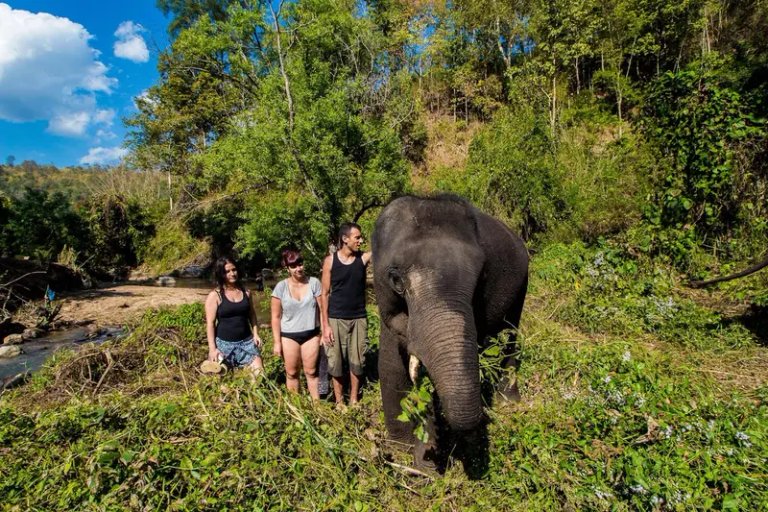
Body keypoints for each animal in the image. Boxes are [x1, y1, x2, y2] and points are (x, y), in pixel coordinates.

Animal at [372, 194, 529, 472]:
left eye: (482, 277)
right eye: (396, 280)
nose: (428, 462)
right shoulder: (385, 302)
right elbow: (389, 363)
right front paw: (401, 448)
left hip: (522, 286)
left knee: (511, 334)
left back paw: (509, 402)